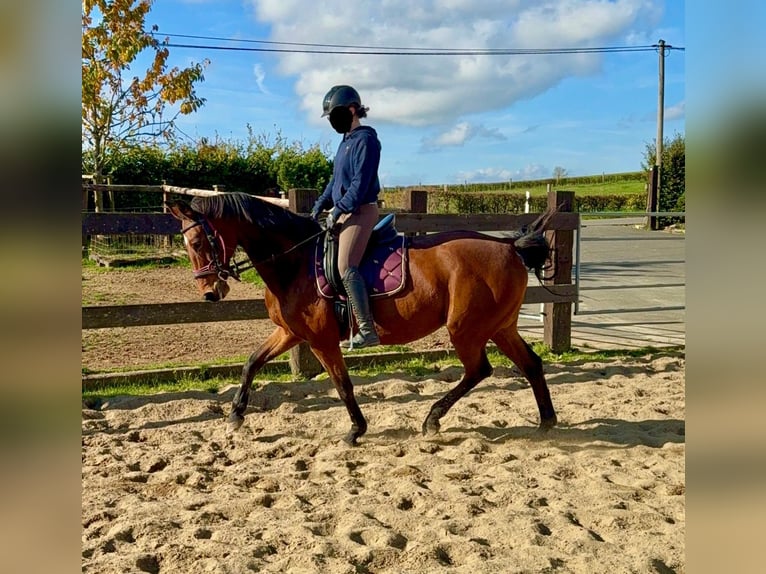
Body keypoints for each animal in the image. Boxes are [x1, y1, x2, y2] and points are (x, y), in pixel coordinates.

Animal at [168, 192, 558, 445]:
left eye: (199, 242)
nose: (210, 292)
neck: (294, 261)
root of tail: (509, 246)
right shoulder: (291, 333)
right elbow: (252, 363)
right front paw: (235, 416)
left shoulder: (321, 340)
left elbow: (342, 384)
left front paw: (355, 430)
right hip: (500, 327)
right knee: (531, 364)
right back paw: (546, 422)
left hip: (466, 330)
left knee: (479, 370)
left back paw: (432, 419)